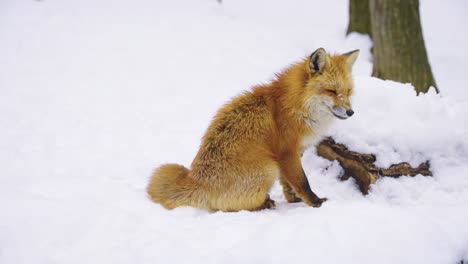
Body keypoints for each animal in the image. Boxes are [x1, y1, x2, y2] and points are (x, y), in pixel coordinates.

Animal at [148, 48, 360, 212]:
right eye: (332, 91)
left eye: (348, 92)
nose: (351, 112)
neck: (297, 105)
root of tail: (196, 180)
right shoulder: (287, 152)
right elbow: (302, 182)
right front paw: (316, 203)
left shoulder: (294, 153)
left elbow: (288, 184)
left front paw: (294, 200)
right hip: (268, 167)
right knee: (229, 207)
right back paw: (264, 204)